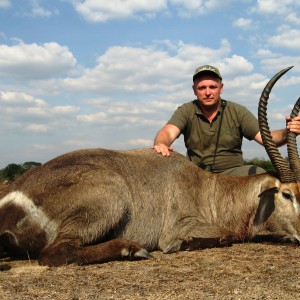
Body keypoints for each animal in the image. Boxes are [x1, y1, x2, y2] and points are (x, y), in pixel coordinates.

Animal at [0, 67, 298, 266]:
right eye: (287, 194)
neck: (211, 189)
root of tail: (13, 195)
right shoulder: (182, 225)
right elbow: (223, 236)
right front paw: (181, 245)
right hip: (110, 197)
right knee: (55, 253)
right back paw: (133, 249)